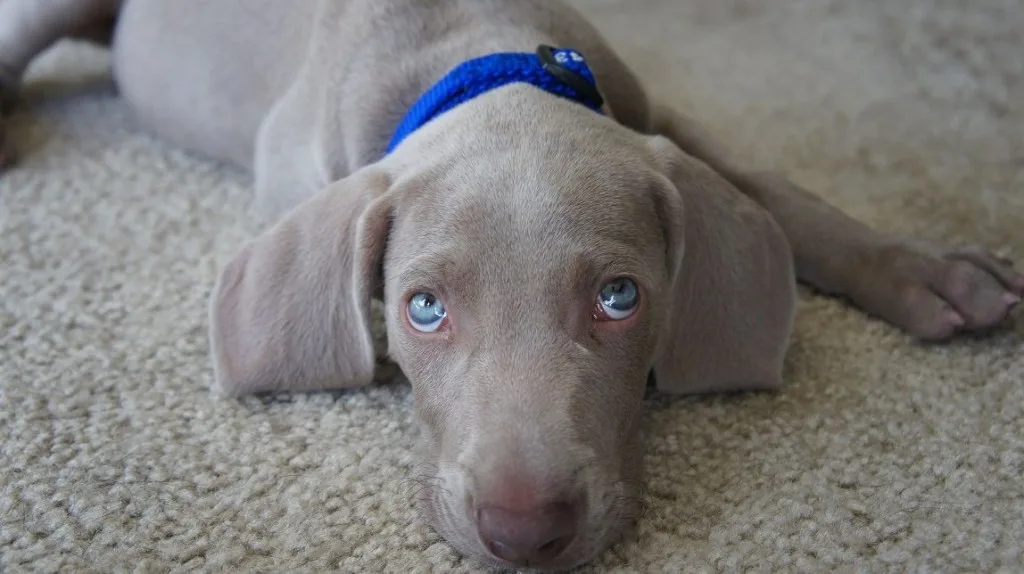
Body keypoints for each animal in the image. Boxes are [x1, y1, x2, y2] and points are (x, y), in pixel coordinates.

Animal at [2, 0, 1024, 568]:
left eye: (621, 299)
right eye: (422, 309)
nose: (525, 533)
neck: (480, 49)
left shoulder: (657, 114)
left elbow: (781, 194)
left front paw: (929, 271)